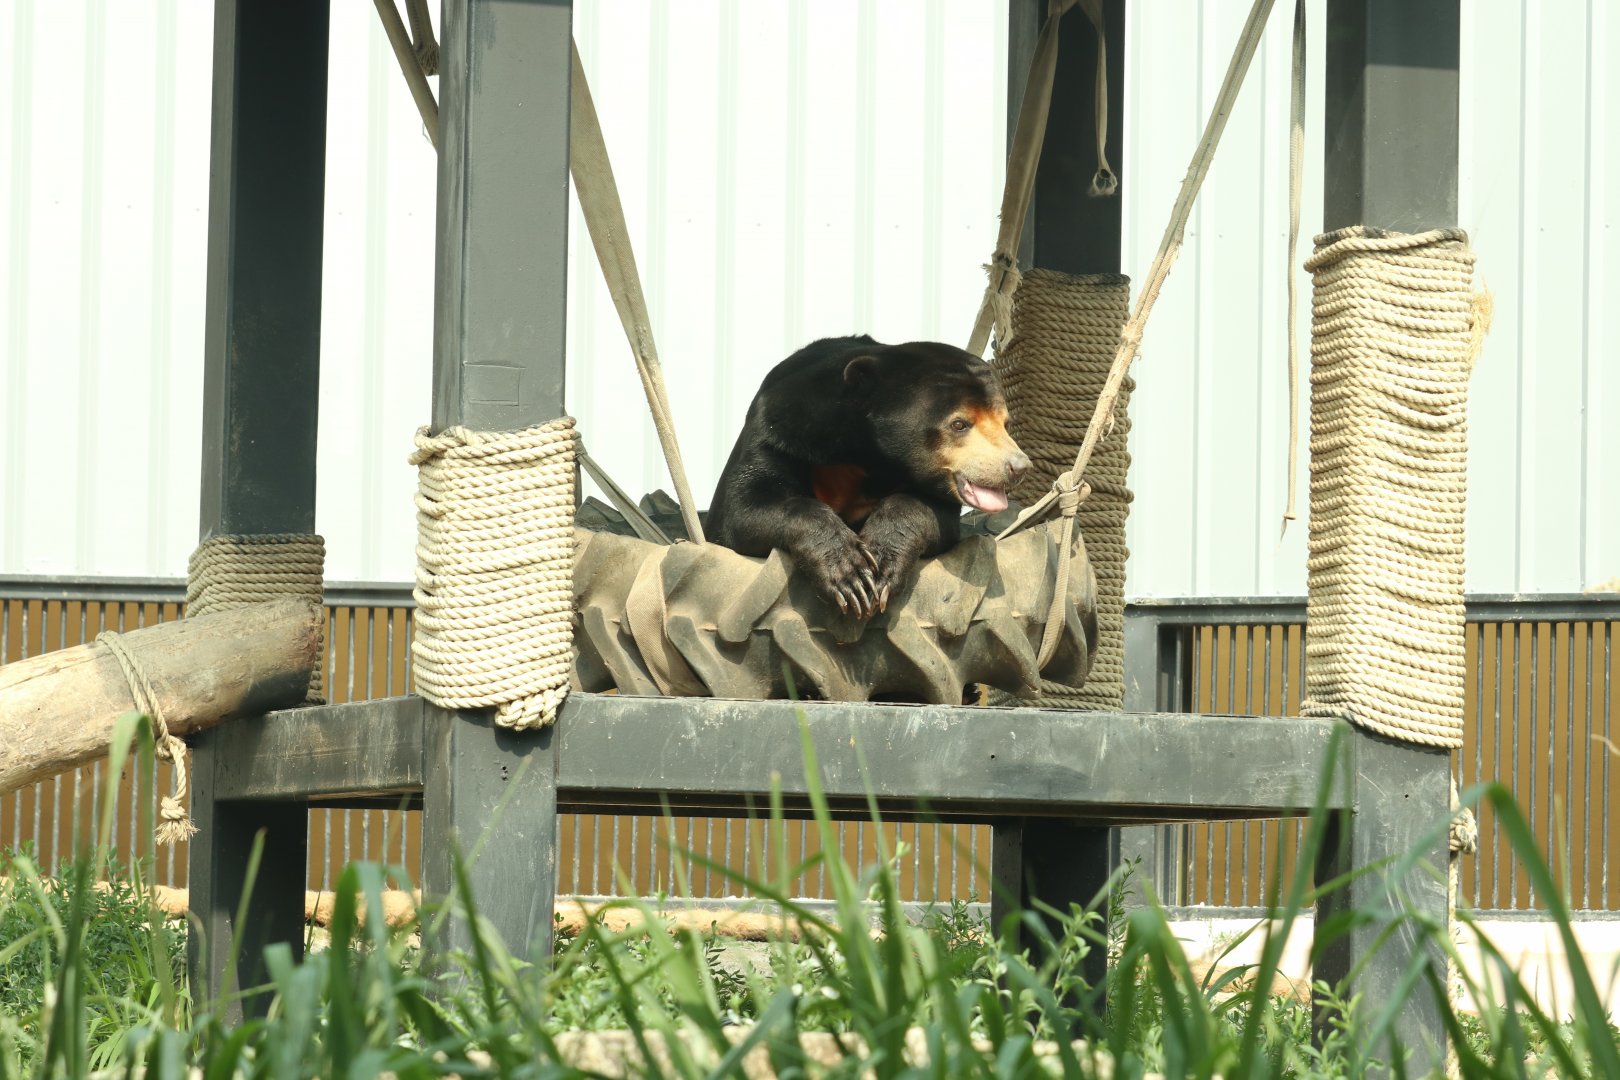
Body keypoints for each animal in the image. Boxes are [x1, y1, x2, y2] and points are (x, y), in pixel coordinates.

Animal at [706, 335, 1030, 619]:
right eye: (960, 423)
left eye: (1005, 423)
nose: (1018, 467)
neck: (869, 458)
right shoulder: (778, 434)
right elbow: (743, 509)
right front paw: (851, 577)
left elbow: (931, 514)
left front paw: (882, 566)